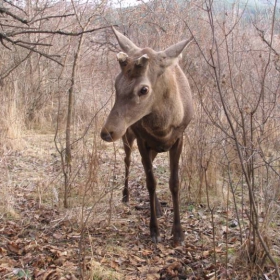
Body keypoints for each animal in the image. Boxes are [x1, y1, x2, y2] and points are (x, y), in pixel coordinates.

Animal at [101, 26, 195, 245]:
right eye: (116, 83)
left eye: (143, 89)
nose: (107, 132)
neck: (163, 128)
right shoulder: (143, 140)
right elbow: (151, 182)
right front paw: (154, 230)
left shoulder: (179, 138)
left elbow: (174, 183)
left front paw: (178, 233)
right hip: (129, 137)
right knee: (128, 162)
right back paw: (126, 195)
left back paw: (159, 208)